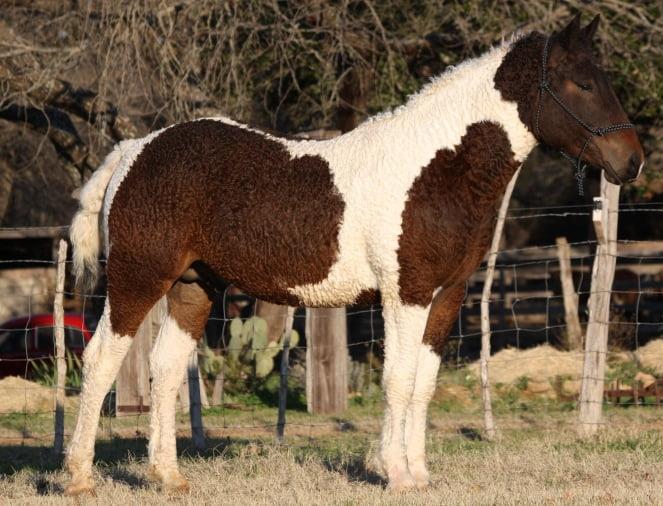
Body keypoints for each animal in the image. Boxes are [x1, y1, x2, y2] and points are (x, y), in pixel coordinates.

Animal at [64, 14, 644, 495]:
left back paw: (168, 477)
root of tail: (133, 150)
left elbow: (424, 385)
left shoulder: (446, 296)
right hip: (138, 279)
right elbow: (399, 380)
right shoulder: (406, 294)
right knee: (101, 359)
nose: (632, 162)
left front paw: (419, 474)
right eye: (582, 84)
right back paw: (79, 479)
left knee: (164, 369)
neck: (434, 169)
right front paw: (396, 474)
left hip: (193, 287)